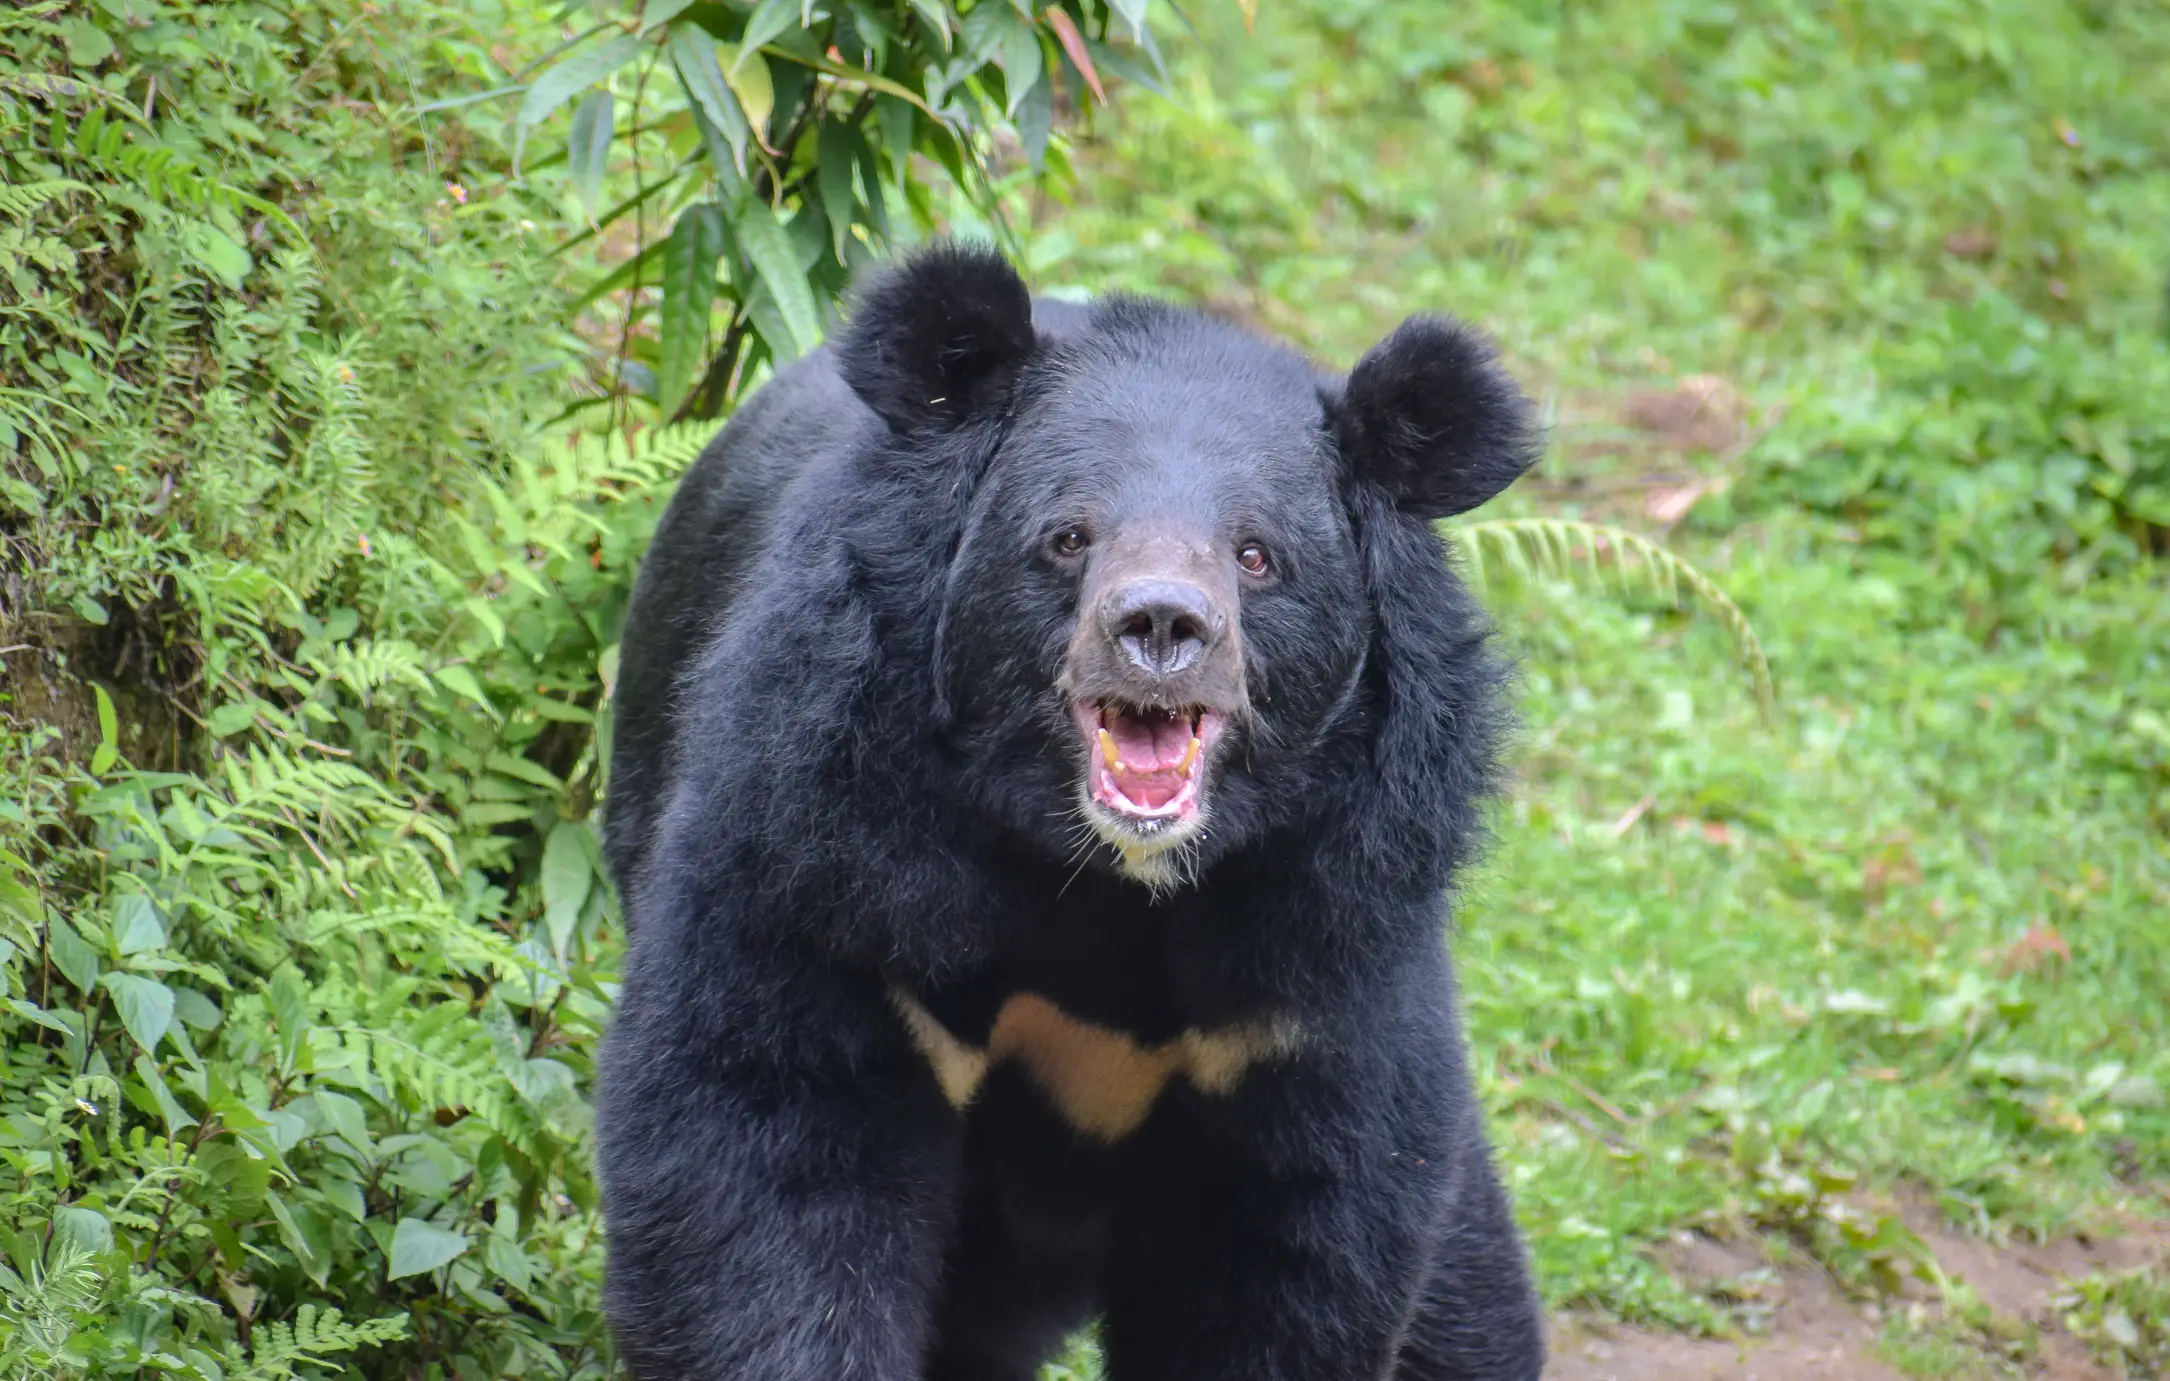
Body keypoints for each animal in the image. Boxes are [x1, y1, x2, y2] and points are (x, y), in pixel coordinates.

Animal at [597, 242, 1547, 1381]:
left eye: (1257, 555)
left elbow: (1294, 1243)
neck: (1105, 881)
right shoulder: (833, 850)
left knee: (1468, 1309)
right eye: (1067, 537)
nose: (1161, 626)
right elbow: (765, 1148)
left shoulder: (1318, 956)